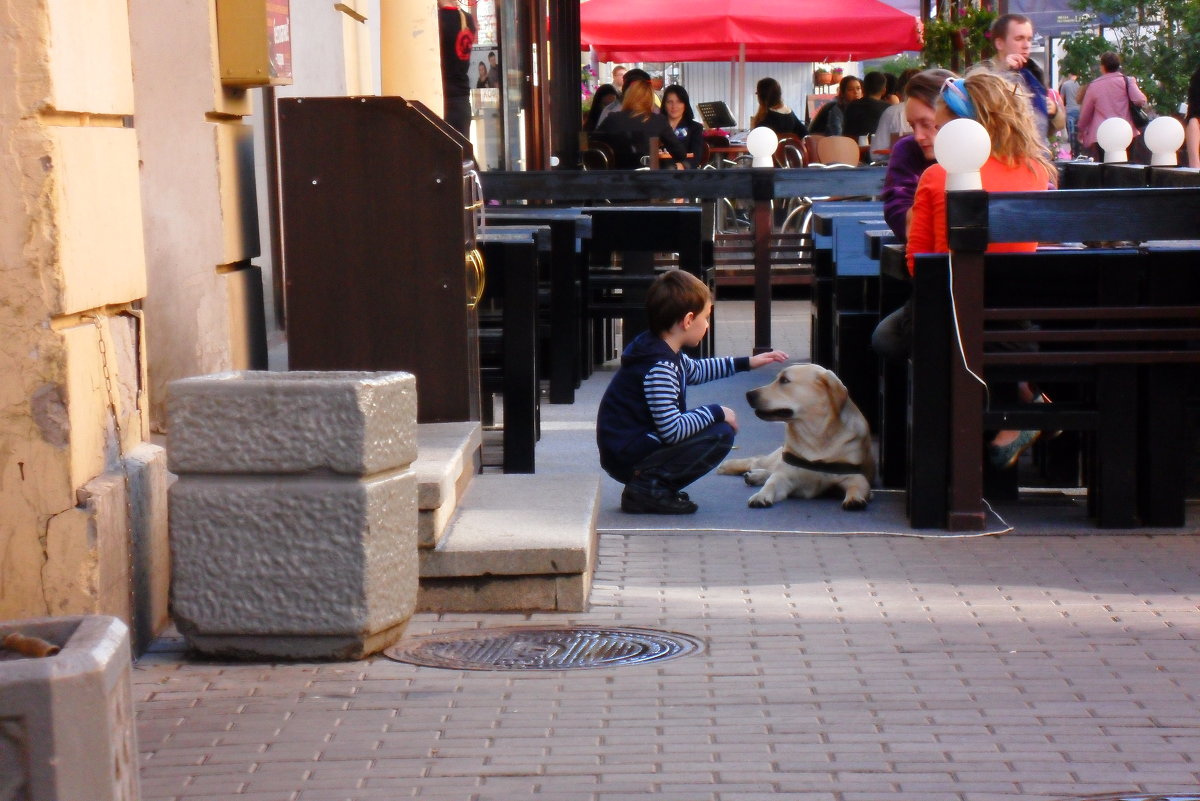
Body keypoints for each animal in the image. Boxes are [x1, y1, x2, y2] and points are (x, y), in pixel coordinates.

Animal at [715, 364, 878, 510]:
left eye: (784, 380)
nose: (748, 394)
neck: (816, 436)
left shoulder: (856, 478)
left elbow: (856, 487)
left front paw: (854, 499)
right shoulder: (785, 476)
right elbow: (771, 483)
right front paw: (760, 495)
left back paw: (755, 476)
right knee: (757, 461)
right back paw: (729, 466)